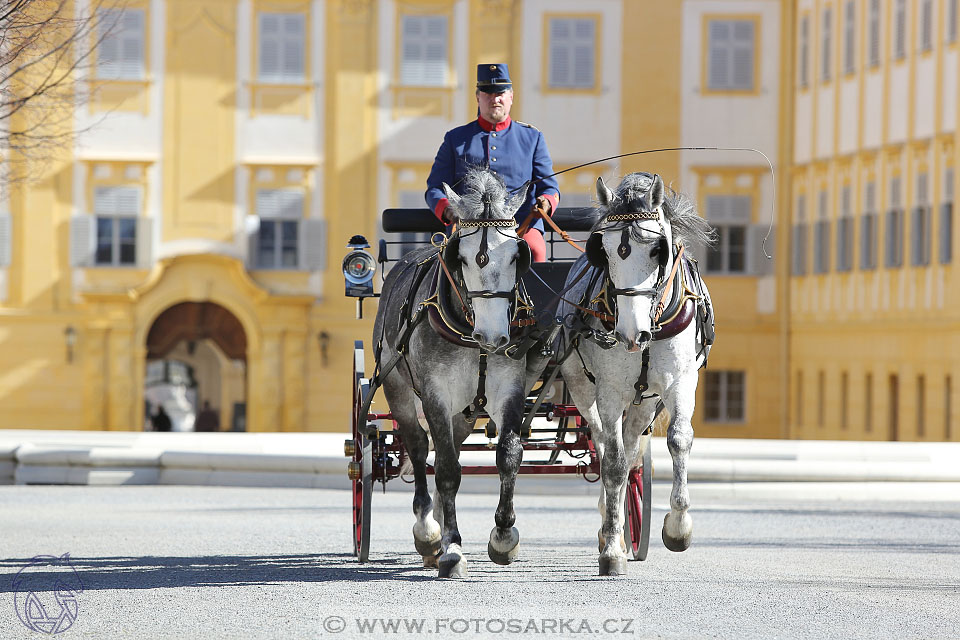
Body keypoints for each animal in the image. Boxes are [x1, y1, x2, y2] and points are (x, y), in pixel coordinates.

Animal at [374, 168, 536, 576]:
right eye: (461, 258)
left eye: (517, 255)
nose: (492, 336)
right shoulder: (435, 394)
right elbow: (445, 468)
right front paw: (450, 546)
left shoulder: (509, 389)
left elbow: (508, 455)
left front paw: (504, 536)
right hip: (397, 387)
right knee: (419, 447)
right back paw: (428, 530)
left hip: (465, 410)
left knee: (452, 446)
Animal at [556, 172, 712, 576]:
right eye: (604, 250)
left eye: (658, 250)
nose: (630, 334)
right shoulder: (610, 392)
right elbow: (612, 463)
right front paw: (612, 547)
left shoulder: (681, 383)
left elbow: (679, 440)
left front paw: (678, 527)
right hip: (582, 388)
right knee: (605, 445)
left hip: (646, 400)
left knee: (630, 450)